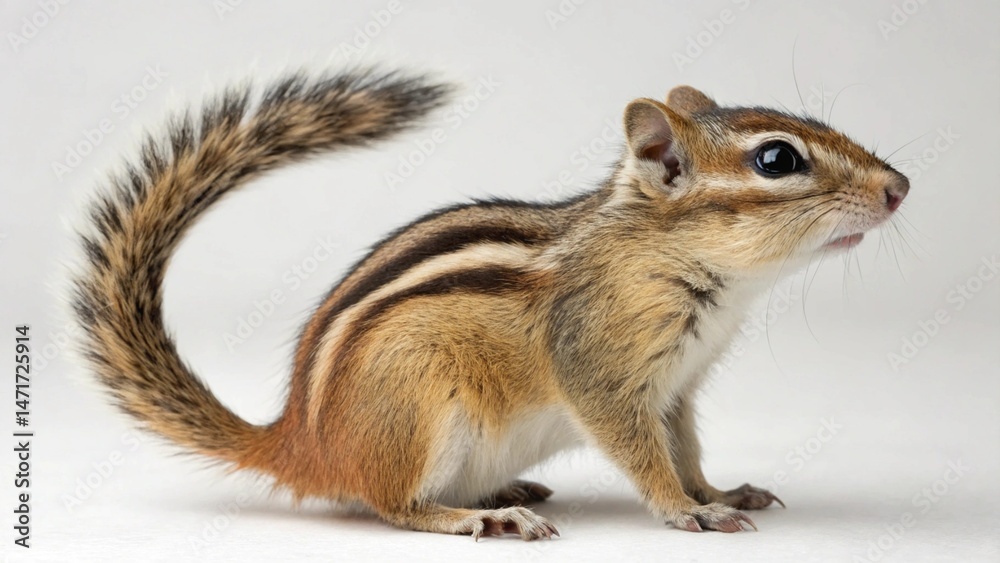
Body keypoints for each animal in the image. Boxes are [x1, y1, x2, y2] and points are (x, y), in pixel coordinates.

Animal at [72, 70, 909, 540]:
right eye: (777, 159)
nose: (900, 186)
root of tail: (301, 442)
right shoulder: (603, 372)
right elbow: (642, 452)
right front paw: (684, 510)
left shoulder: (678, 387)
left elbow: (686, 447)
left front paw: (716, 489)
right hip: (420, 402)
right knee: (390, 503)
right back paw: (480, 514)